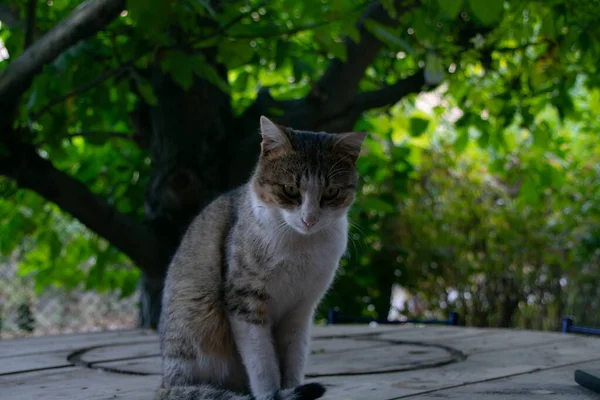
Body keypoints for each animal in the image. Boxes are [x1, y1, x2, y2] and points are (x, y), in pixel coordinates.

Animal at [155, 115, 366, 400]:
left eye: (331, 192)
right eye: (290, 189)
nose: (309, 220)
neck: (301, 245)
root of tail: (167, 382)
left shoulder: (301, 309)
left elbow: (294, 357)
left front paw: (290, 388)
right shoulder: (244, 300)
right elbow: (262, 362)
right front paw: (271, 394)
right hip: (197, 324)